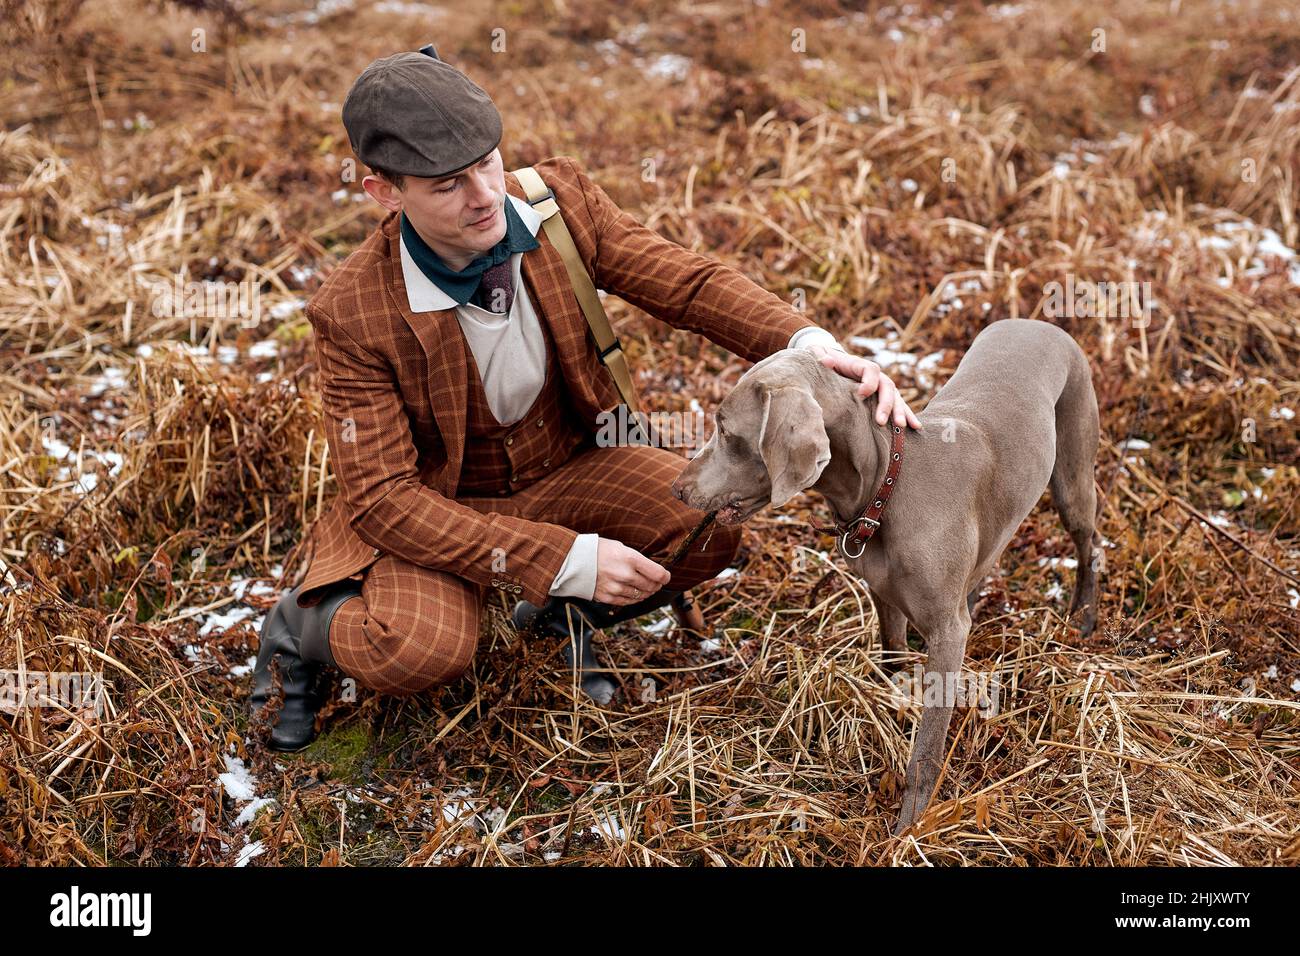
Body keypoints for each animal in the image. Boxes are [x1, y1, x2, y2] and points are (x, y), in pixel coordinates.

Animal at [670, 317, 1097, 832]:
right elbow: (892, 661)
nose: (677, 488)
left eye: (724, 429)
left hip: (1073, 474)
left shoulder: (947, 634)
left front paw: (911, 823)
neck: (883, 490)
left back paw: (1084, 615)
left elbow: (928, 745)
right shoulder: (884, 596)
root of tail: (1037, 321)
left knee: (1087, 543)